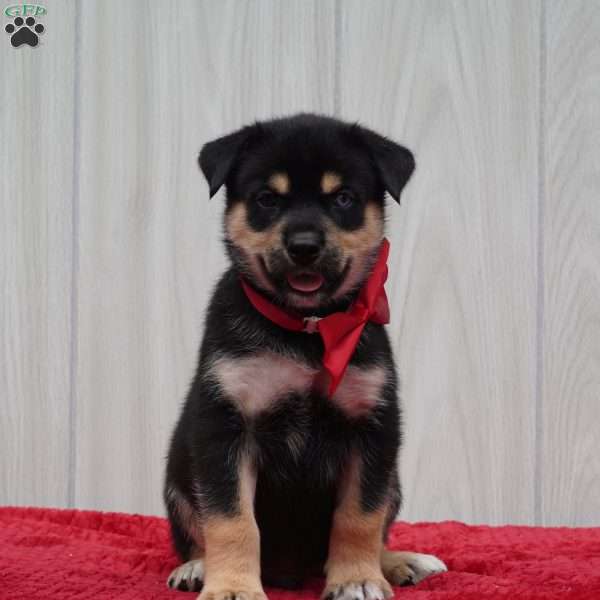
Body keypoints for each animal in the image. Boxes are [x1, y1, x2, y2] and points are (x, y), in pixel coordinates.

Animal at [164, 113, 446, 600]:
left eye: (344, 198)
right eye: (266, 199)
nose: (304, 246)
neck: (308, 329)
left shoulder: (372, 428)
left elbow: (360, 516)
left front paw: (356, 578)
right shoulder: (227, 425)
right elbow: (231, 519)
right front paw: (232, 587)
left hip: (393, 480)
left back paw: (398, 562)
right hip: (178, 477)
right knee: (195, 531)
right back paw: (196, 567)